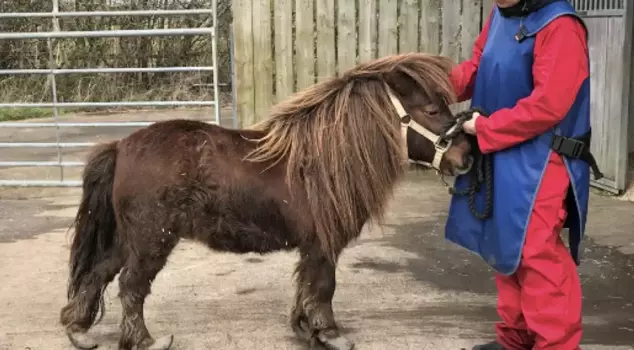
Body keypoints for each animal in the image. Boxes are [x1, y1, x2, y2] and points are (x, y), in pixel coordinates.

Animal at [59, 52, 472, 350]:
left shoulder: (311, 246)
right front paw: (330, 334)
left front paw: (306, 329)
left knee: (98, 274)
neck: (323, 160)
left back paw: (79, 331)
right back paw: (144, 340)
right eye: (432, 111)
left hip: (128, 239)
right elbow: (324, 286)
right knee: (131, 286)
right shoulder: (323, 244)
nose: (466, 156)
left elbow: (306, 285)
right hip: (151, 240)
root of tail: (121, 146)